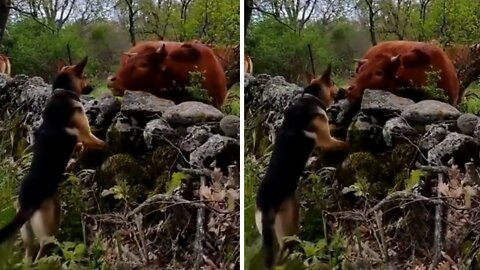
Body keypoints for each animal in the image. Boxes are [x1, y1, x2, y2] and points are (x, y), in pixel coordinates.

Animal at [0, 56, 106, 262]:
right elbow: (100, 141)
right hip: (48, 227)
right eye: (85, 76)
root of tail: (27, 202)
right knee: (41, 252)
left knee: (28, 258)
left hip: (27, 234)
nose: (93, 86)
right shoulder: (86, 134)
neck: (62, 92)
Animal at [255, 63, 348, 268]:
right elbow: (344, 142)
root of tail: (265, 204)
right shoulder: (326, 141)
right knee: (282, 255)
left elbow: (334, 128)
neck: (310, 98)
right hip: (289, 227)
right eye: (334, 83)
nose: (346, 90)